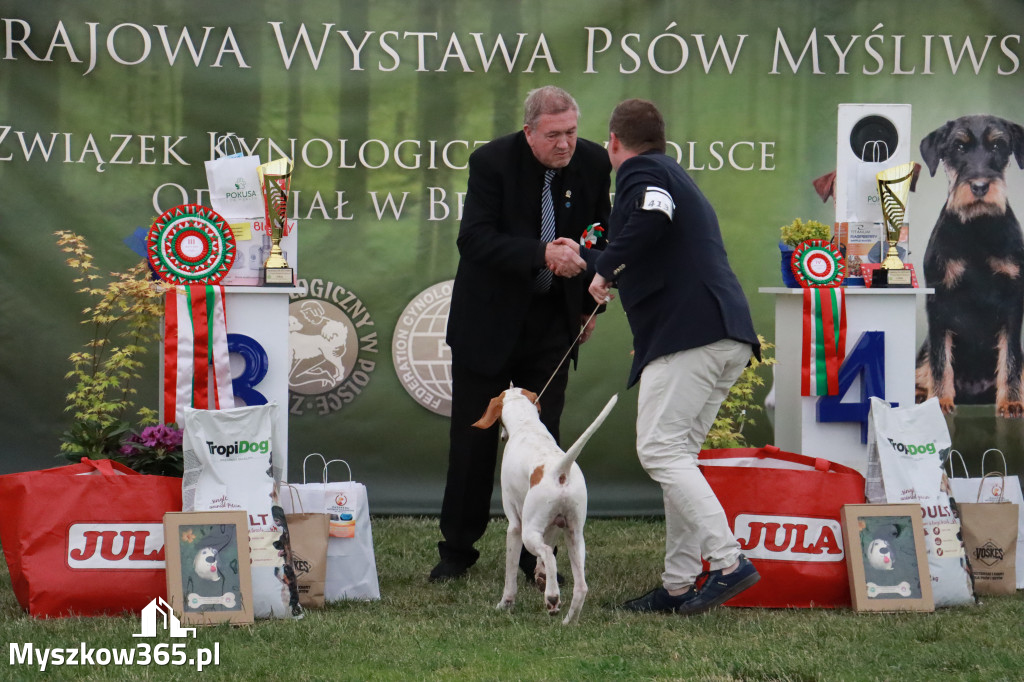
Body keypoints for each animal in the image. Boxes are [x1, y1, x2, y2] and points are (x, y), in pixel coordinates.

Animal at [468, 382, 614, 622]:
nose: (502, 436)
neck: (526, 425)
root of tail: (560, 470)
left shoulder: (515, 526)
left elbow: (511, 574)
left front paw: (505, 604)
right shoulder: (554, 525)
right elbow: (544, 555)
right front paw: (539, 575)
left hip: (529, 533)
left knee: (548, 555)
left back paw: (552, 597)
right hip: (574, 536)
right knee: (581, 586)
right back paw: (568, 622)